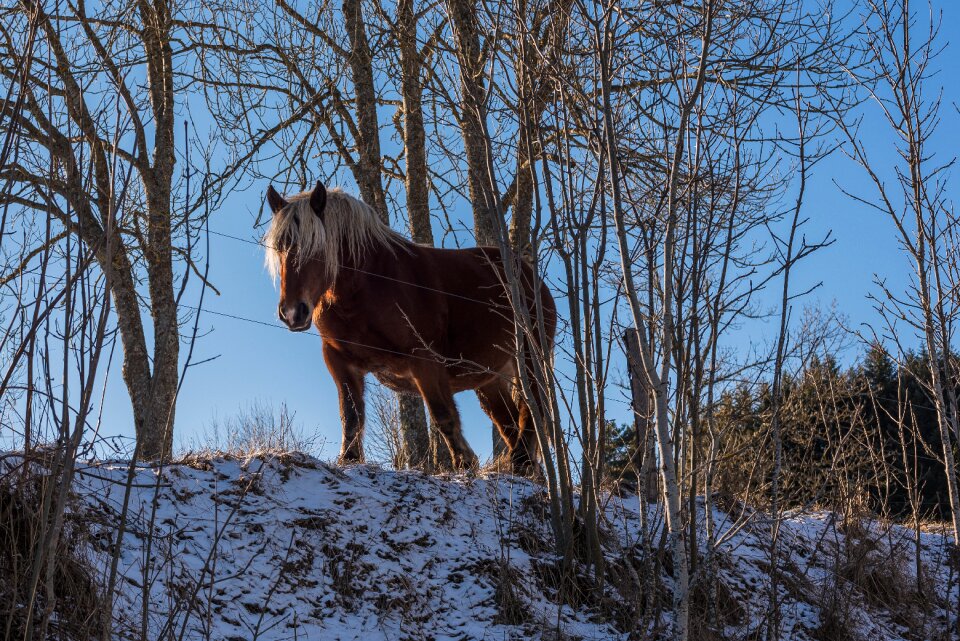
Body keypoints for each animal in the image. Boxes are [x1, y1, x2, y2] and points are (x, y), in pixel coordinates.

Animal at [266, 180, 560, 470]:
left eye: (315, 247)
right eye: (279, 248)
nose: (292, 312)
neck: (367, 287)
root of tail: (531, 278)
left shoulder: (425, 361)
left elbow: (443, 415)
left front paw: (464, 463)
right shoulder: (339, 360)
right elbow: (350, 415)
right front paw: (349, 459)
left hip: (530, 361)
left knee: (533, 409)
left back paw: (521, 460)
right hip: (491, 378)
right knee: (508, 422)